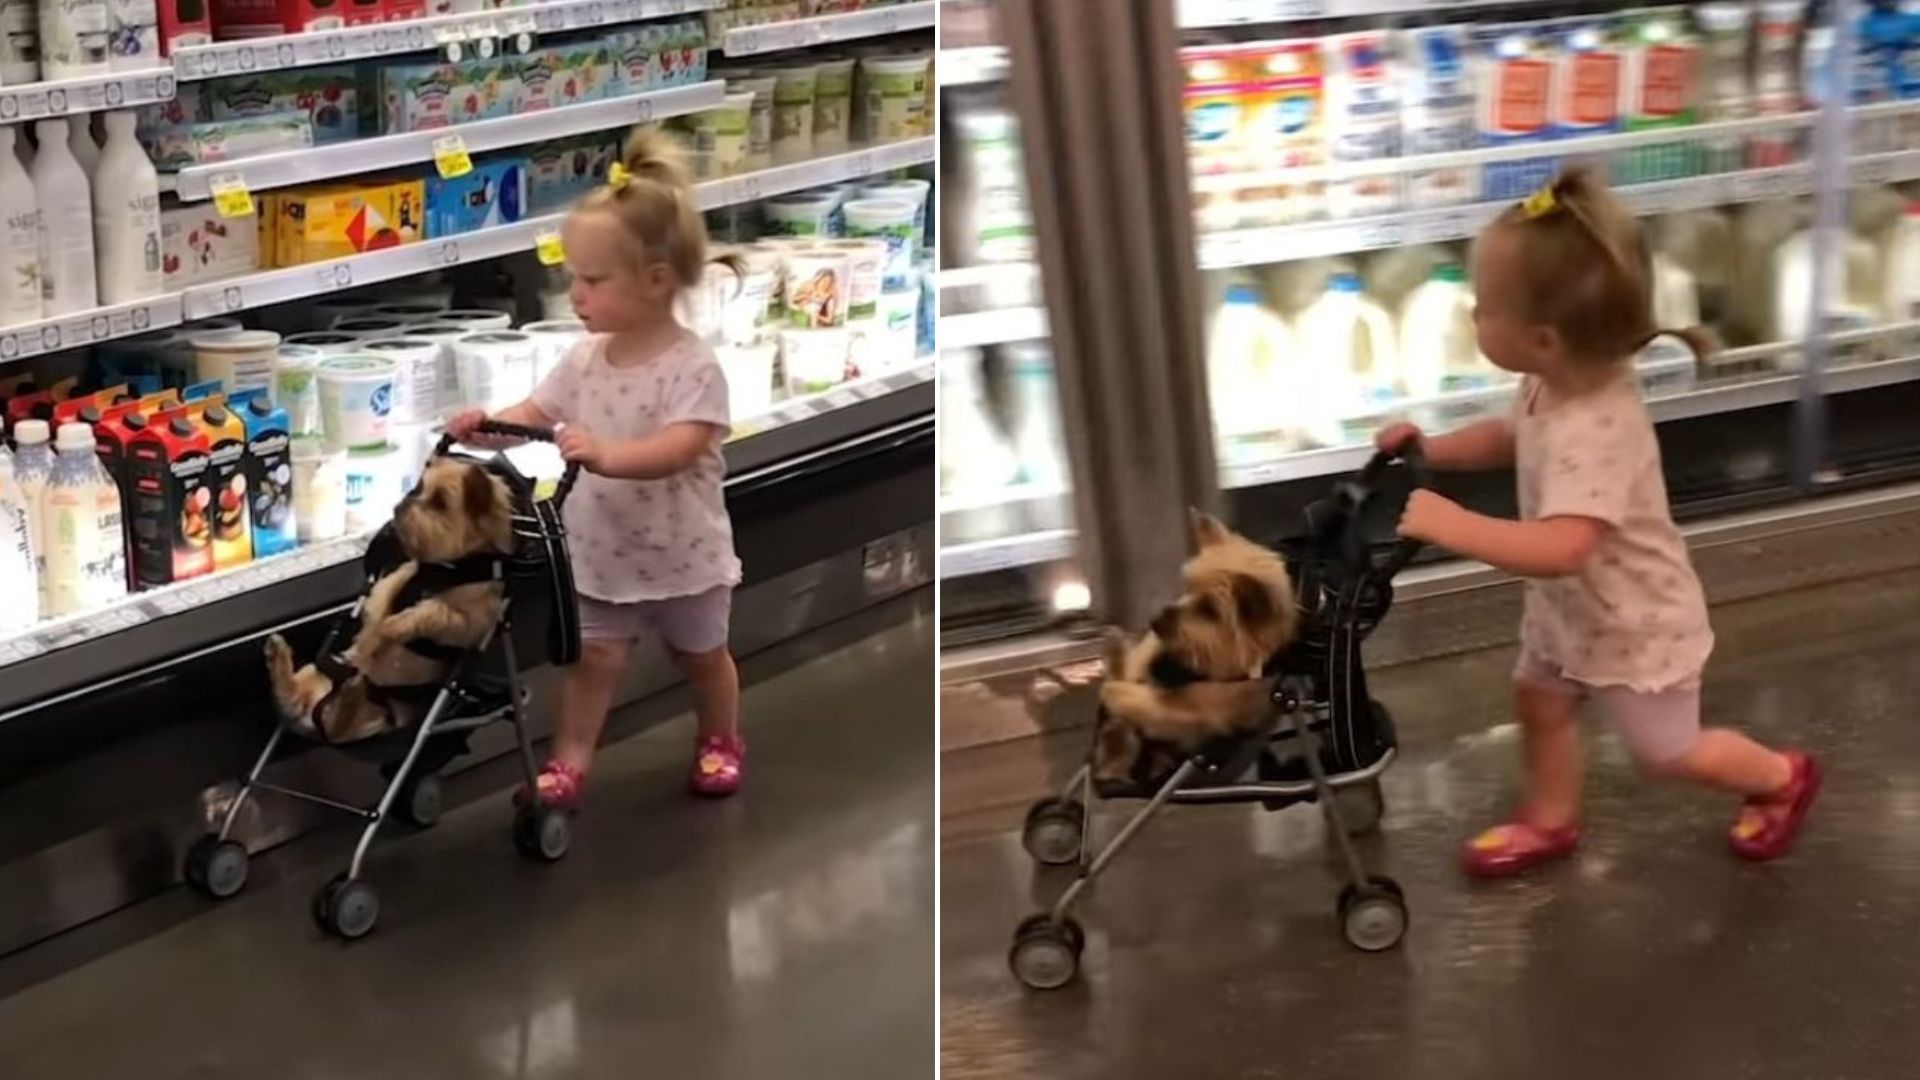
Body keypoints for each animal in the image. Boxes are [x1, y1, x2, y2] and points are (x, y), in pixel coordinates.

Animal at [266, 453, 518, 737]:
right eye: (419, 488)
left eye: (440, 502)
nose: (399, 507)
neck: (449, 567)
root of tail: (314, 717)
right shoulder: (405, 574)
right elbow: (386, 589)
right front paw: (373, 619)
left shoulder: (468, 624)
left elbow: (429, 612)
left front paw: (390, 626)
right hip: (313, 675)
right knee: (293, 697)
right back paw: (279, 655)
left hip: (377, 716)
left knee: (341, 724)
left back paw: (349, 691)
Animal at [1098, 507, 1305, 776]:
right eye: (1187, 587)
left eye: (1210, 610)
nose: (1154, 621)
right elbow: (1135, 666)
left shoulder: (1209, 706)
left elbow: (1152, 702)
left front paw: (1115, 691)